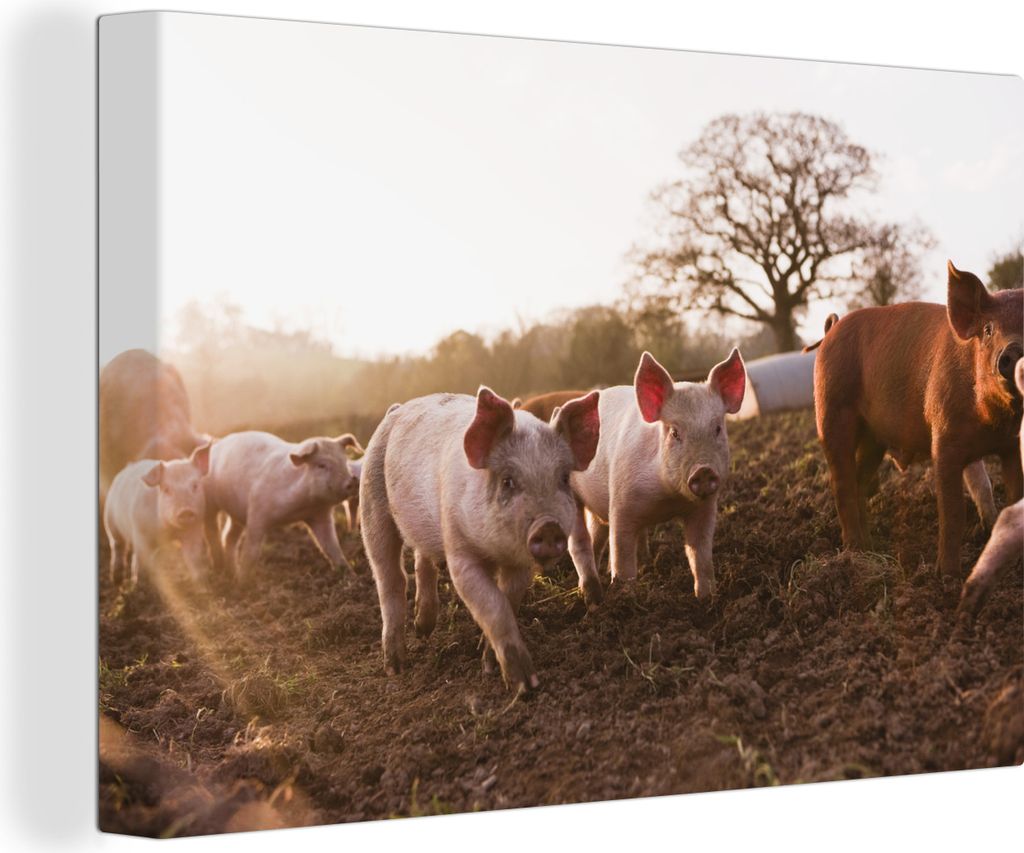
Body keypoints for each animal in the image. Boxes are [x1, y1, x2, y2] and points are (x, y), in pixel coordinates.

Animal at [103, 443, 212, 585]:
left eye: (195, 485)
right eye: (166, 489)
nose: (185, 511)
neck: (168, 530)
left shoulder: (194, 530)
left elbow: (194, 558)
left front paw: (201, 581)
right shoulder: (140, 533)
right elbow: (140, 561)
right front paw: (139, 584)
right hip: (110, 522)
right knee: (118, 546)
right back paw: (117, 579)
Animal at [202, 431, 363, 579]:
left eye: (345, 461)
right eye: (321, 465)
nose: (353, 481)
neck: (302, 506)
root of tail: (218, 444)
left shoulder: (320, 515)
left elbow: (332, 547)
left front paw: (352, 575)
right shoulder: (257, 512)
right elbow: (252, 551)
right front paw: (244, 583)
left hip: (236, 514)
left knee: (228, 537)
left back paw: (232, 573)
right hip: (209, 502)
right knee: (212, 531)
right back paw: (221, 568)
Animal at [360, 387, 601, 692]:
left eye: (565, 479)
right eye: (508, 481)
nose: (548, 526)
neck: (494, 552)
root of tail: (396, 409)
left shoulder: (519, 564)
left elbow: (508, 601)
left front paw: (489, 666)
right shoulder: (459, 552)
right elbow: (493, 605)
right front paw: (526, 685)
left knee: (422, 560)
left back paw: (423, 630)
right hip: (371, 503)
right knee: (390, 579)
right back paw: (395, 668)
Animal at [566, 350, 746, 600]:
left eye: (718, 428)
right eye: (675, 432)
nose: (703, 470)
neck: (669, 499)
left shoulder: (705, 508)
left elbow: (700, 554)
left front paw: (707, 598)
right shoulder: (621, 503)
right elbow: (622, 555)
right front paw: (626, 596)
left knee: (598, 535)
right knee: (582, 542)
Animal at [813, 261, 1023, 576]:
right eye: (988, 329)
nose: (1014, 349)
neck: (990, 422)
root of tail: (831, 330)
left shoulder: (1010, 444)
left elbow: (1011, 496)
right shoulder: (944, 441)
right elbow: (953, 511)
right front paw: (947, 576)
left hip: (874, 438)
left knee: (860, 480)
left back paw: (872, 545)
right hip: (831, 413)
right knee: (842, 482)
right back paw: (855, 552)